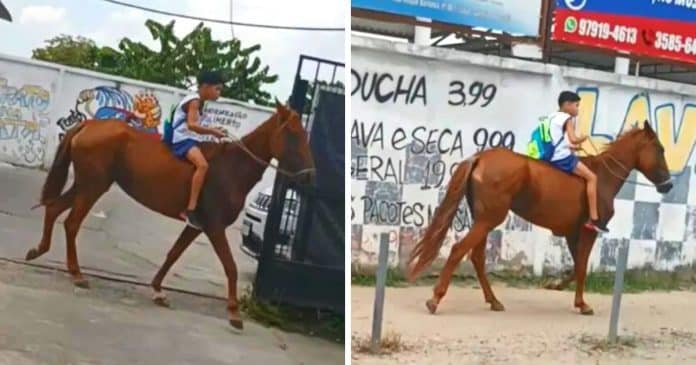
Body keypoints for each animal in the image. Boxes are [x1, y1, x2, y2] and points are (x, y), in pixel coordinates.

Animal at [23, 101, 312, 328]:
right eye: (294, 134)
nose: (310, 176)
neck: (232, 168)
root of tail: (89, 125)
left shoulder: (196, 225)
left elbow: (174, 253)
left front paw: (157, 289)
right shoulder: (214, 226)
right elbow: (230, 266)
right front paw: (233, 313)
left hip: (86, 184)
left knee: (54, 208)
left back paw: (38, 250)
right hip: (93, 186)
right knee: (72, 223)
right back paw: (76, 273)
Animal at [408, 121, 676, 314]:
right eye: (660, 149)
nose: (668, 185)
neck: (601, 178)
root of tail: (480, 158)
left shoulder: (572, 233)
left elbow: (578, 266)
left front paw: (559, 288)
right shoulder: (588, 231)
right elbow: (582, 267)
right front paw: (582, 304)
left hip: (483, 220)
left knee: (476, 257)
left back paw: (493, 301)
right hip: (489, 220)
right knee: (458, 250)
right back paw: (435, 299)